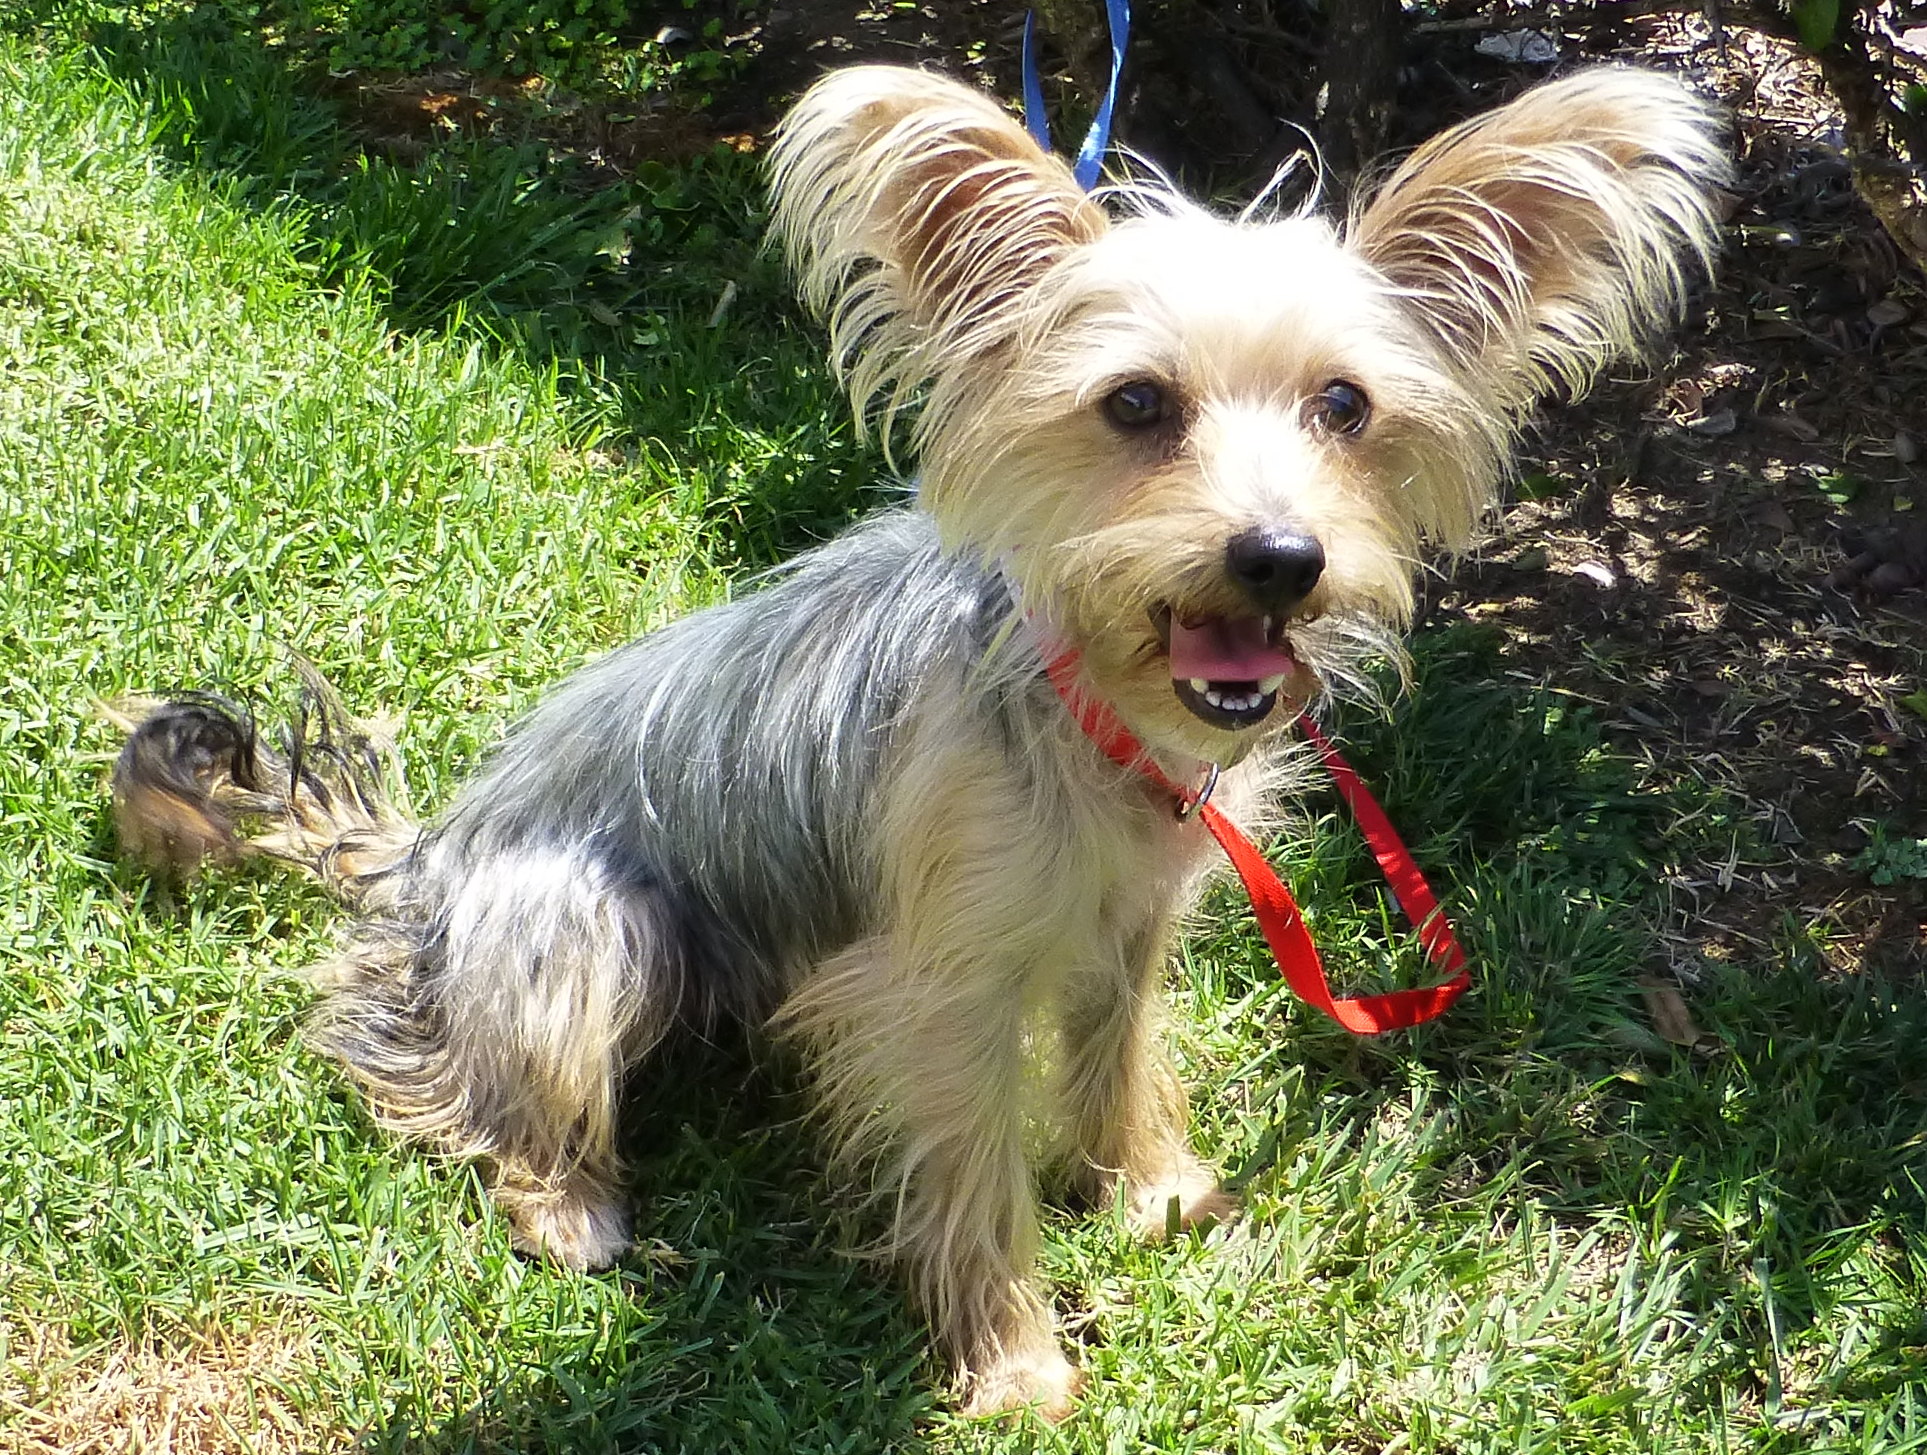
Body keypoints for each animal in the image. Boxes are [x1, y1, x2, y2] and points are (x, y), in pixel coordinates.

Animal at [109, 68, 1734, 1426]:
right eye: (1133, 403)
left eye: (1346, 405)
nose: (1279, 558)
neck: (1089, 712)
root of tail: (421, 859)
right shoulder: (941, 995)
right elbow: (971, 1185)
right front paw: (1013, 1364)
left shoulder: (1132, 927)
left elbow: (1118, 1061)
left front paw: (1148, 1192)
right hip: (587, 916)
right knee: (475, 1087)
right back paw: (566, 1201)